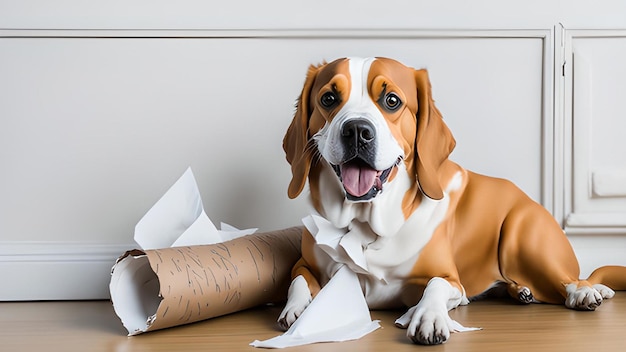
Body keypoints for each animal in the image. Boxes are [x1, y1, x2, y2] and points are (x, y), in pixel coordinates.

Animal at [278, 56, 624, 346]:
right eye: (328, 99)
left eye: (391, 101)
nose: (357, 131)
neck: (365, 225)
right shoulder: (303, 262)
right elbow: (298, 279)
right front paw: (298, 309)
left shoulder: (451, 281)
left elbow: (435, 285)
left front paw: (429, 316)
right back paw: (522, 291)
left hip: (522, 237)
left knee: (569, 279)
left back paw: (584, 292)